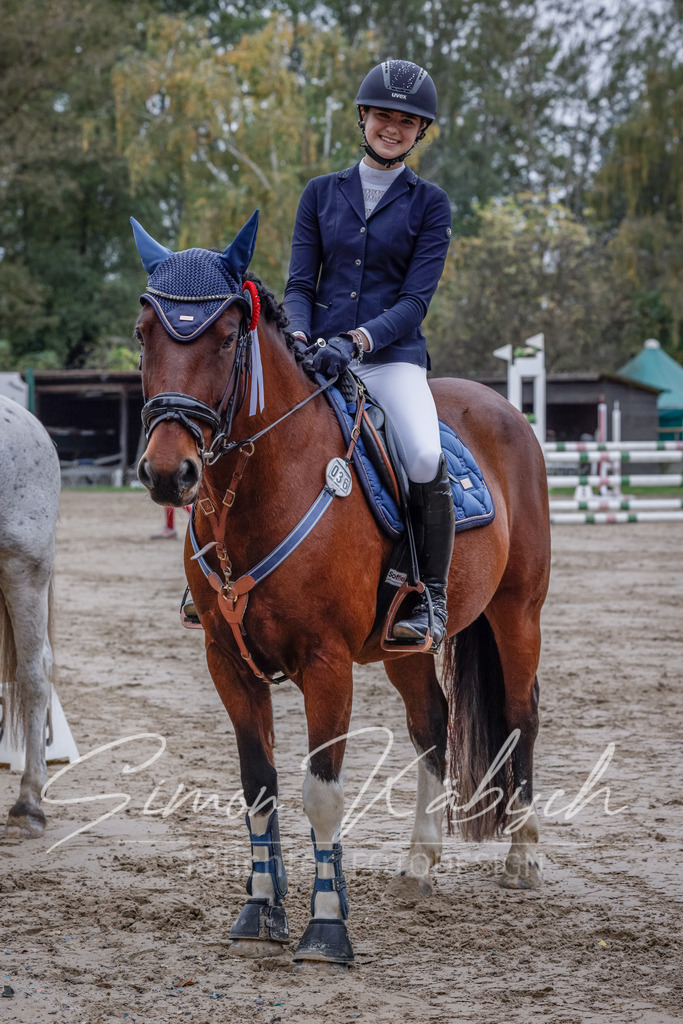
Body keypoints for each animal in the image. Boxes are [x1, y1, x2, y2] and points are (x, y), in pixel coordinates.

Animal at [131, 213, 551, 963]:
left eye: (227, 335)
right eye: (144, 331)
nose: (168, 473)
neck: (259, 488)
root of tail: (500, 407)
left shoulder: (326, 665)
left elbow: (319, 793)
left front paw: (326, 927)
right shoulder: (226, 661)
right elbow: (259, 786)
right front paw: (258, 911)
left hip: (517, 613)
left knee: (519, 717)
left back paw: (523, 856)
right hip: (404, 645)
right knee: (432, 723)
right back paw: (419, 862)